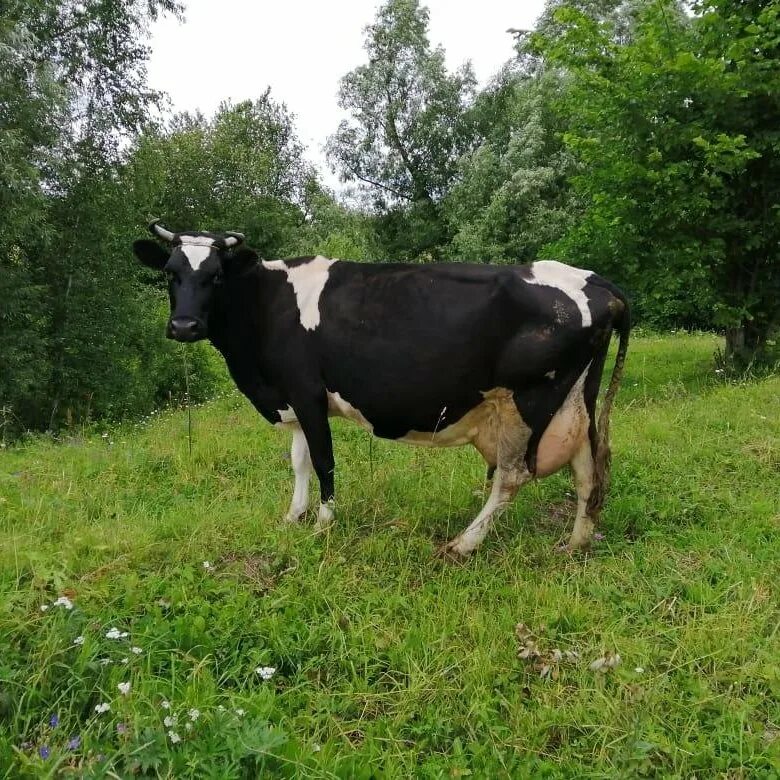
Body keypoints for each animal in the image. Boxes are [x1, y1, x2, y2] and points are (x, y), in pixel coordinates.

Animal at [134, 221, 632, 556]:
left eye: (215, 275)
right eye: (170, 273)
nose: (184, 325)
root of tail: (594, 281)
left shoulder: (307, 392)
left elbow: (323, 460)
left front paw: (323, 523)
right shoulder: (292, 398)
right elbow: (298, 461)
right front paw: (293, 516)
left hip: (528, 400)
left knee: (511, 477)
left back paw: (463, 544)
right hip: (574, 400)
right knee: (587, 468)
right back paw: (576, 542)